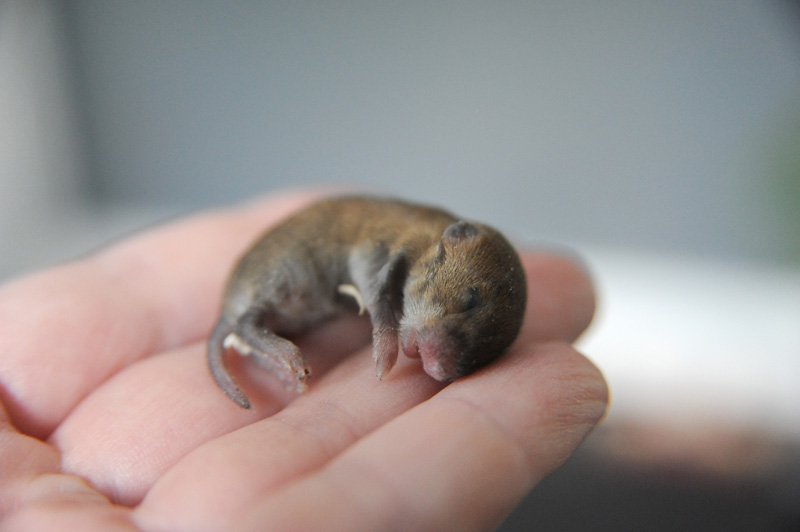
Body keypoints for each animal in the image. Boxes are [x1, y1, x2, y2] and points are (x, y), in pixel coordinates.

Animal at [208, 196, 527, 408]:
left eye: (488, 354)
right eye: (470, 299)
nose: (439, 371)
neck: (429, 236)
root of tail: (225, 309)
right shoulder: (375, 257)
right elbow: (378, 303)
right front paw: (384, 362)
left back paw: (287, 376)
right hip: (280, 282)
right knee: (247, 324)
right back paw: (292, 360)